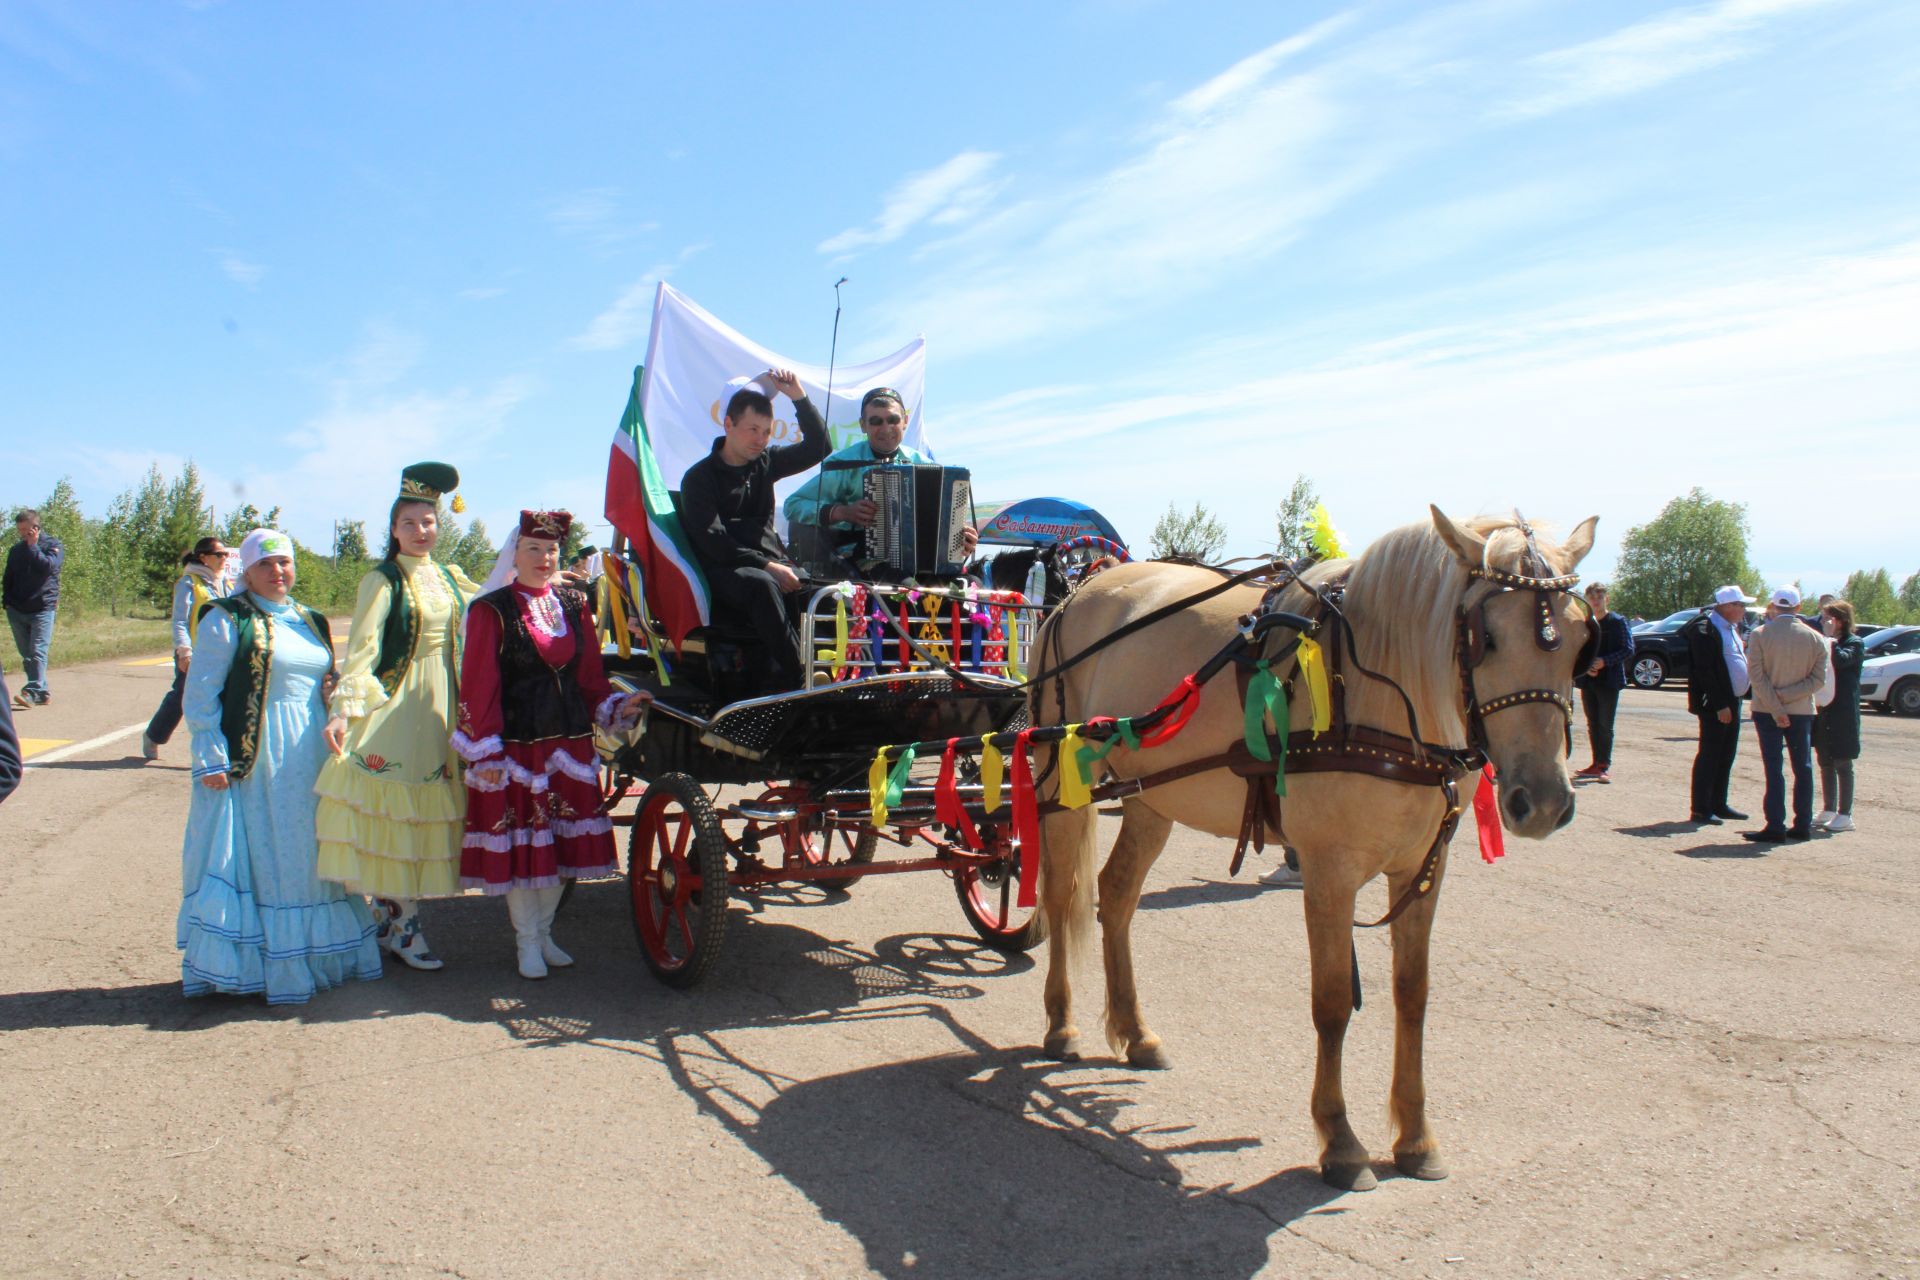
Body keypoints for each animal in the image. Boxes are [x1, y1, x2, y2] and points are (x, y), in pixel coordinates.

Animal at [1029, 506, 1597, 1189]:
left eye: (1581, 640)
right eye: (1484, 637)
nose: (1543, 802)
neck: (1380, 684)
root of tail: (1077, 592)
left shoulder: (1422, 867)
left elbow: (1413, 994)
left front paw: (1415, 1136)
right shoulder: (1329, 870)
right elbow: (1331, 1003)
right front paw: (1341, 1141)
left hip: (1152, 797)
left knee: (1114, 896)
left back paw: (1136, 1032)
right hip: (1062, 786)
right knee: (1062, 897)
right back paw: (1061, 1022)